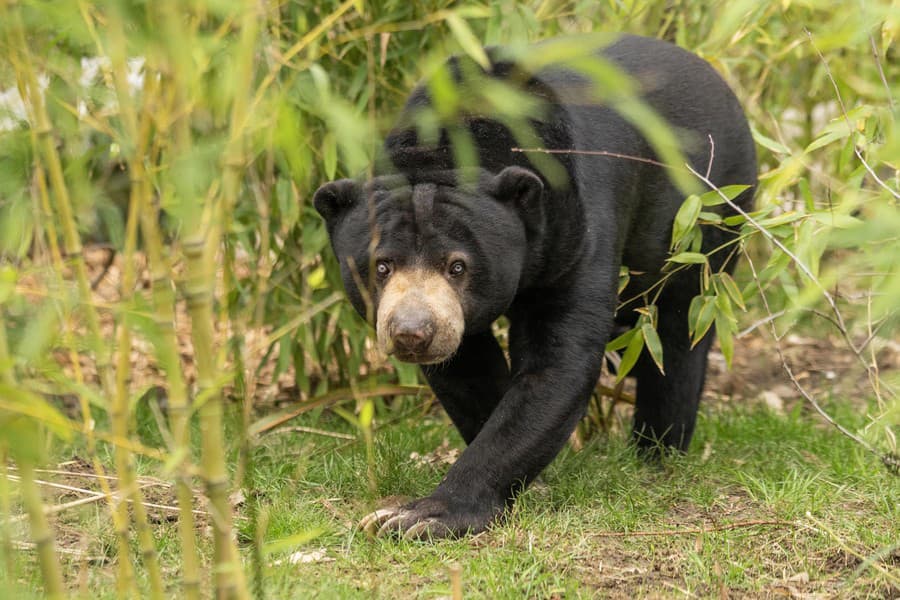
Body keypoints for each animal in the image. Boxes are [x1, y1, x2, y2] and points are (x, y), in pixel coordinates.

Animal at [312, 32, 756, 540]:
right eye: (382, 266)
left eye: (457, 266)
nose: (413, 333)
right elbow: (469, 370)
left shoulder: (576, 231)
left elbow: (555, 366)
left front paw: (418, 516)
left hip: (709, 211)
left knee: (679, 328)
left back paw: (658, 450)